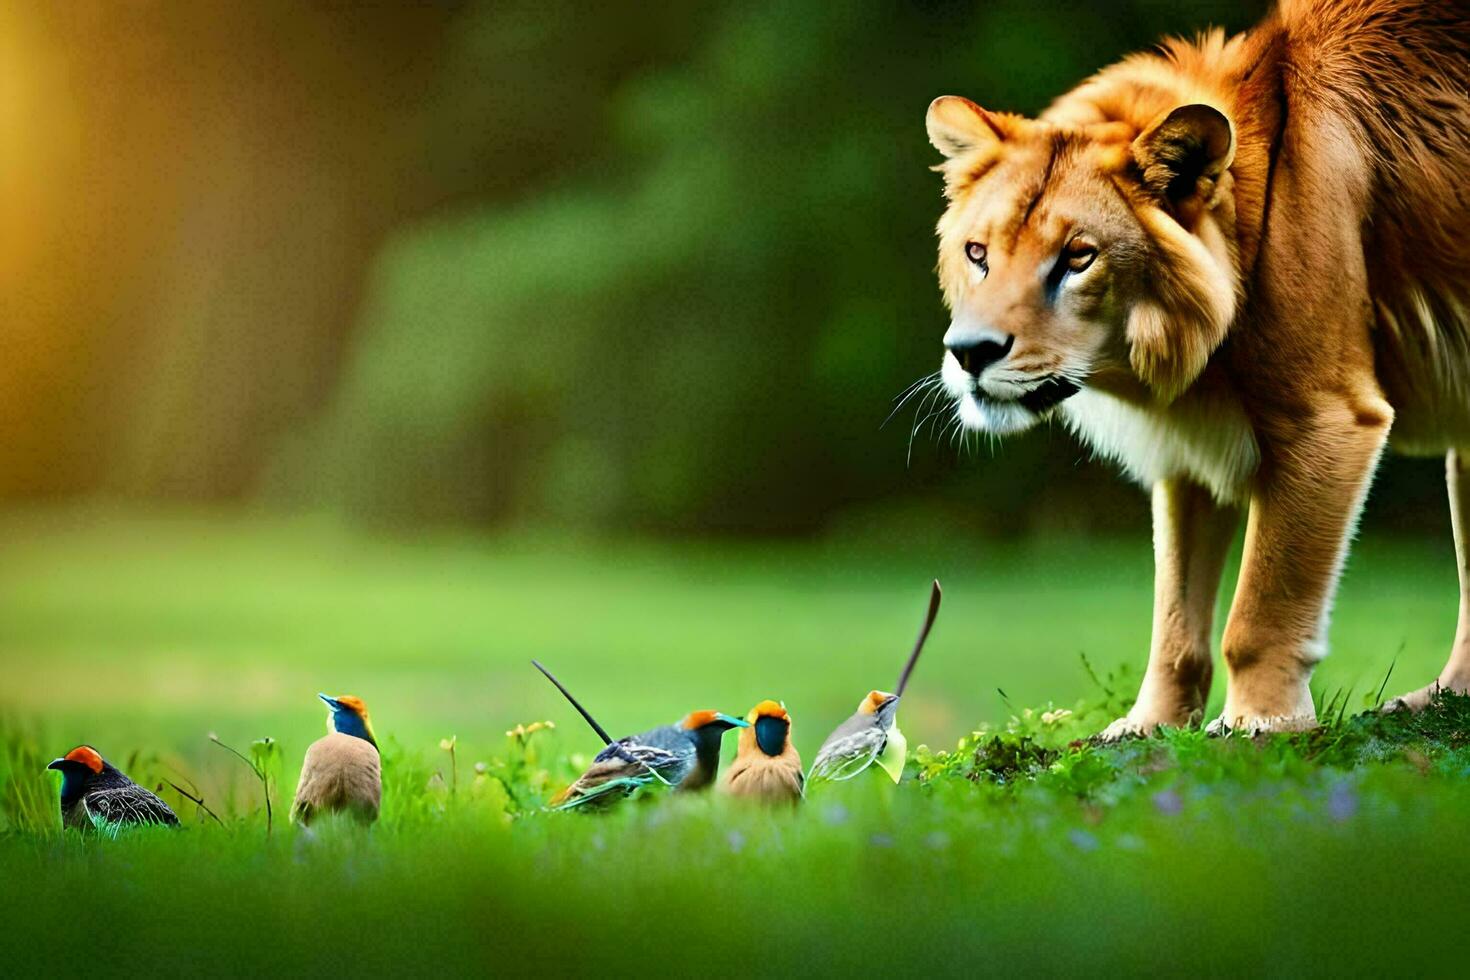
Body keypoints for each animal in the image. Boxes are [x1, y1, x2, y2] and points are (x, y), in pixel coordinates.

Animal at [929, 1, 1470, 734]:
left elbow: (1262, 609)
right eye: (979, 253)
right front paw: (1147, 728)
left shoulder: (1329, 419)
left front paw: (1257, 727)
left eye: (1078, 257)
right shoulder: (1188, 453)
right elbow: (1175, 624)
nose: (969, 352)